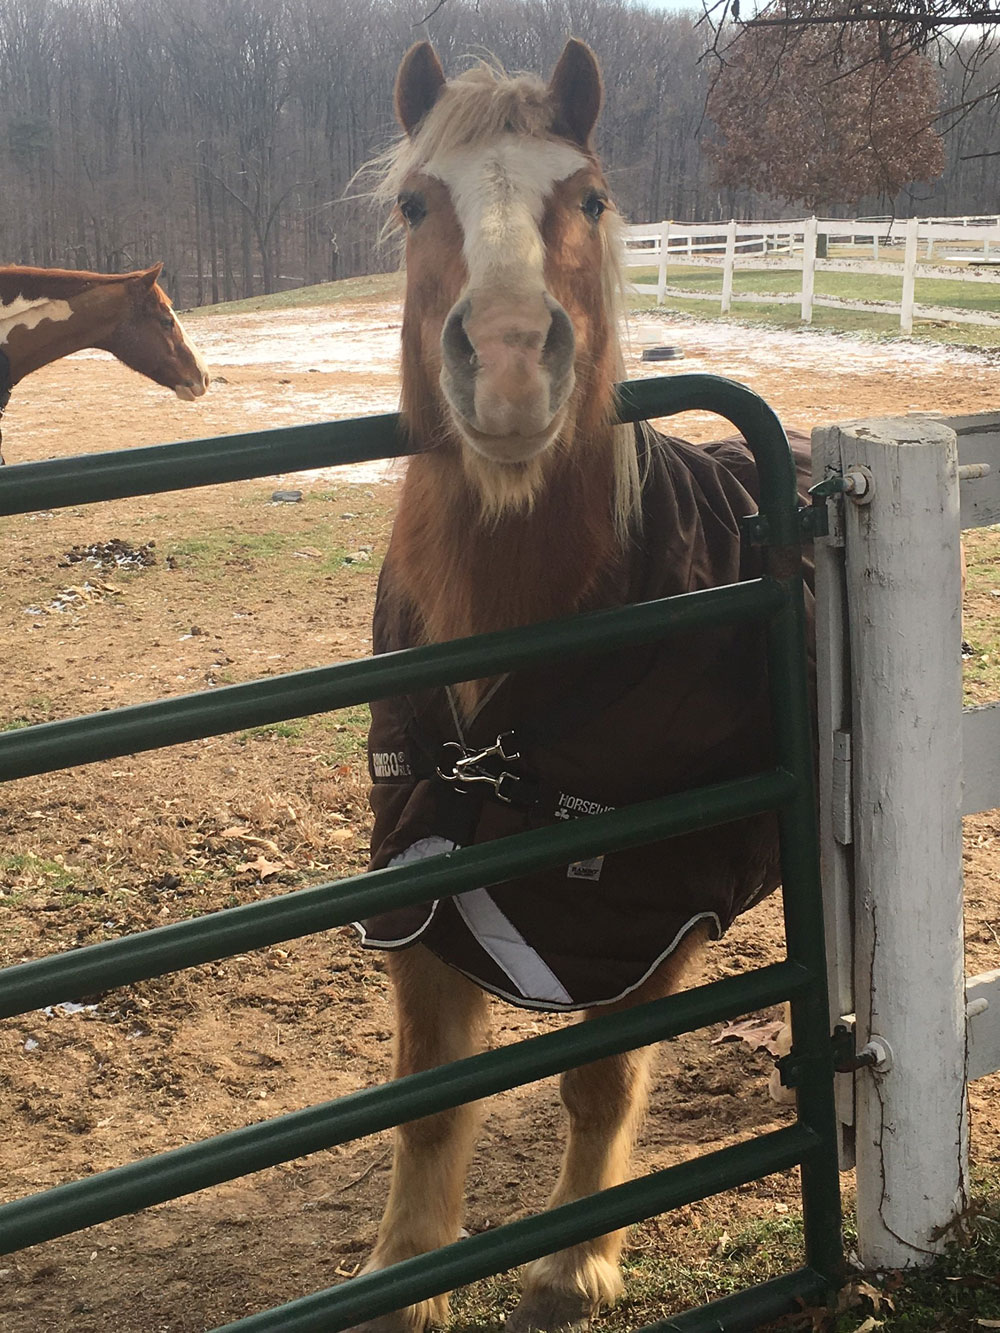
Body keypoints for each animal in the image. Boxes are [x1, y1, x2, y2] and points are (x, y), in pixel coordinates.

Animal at [357, 41, 810, 1333]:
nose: (512, 361)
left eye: (593, 199)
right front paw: (405, 1276)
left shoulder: (652, 912)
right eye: (418, 204)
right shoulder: (417, 876)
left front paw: (577, 1263)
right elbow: (428, 1099)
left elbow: (602, 1082)